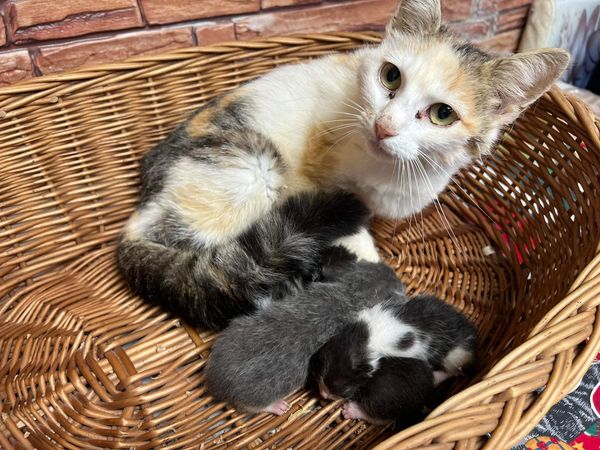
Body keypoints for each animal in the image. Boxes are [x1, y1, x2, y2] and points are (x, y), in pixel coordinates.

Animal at [116, 0, 568, 330]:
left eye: (443, 114)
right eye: (390, 76)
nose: (384, 126)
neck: (386, 170)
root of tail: (141, 207)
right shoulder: (308, 179)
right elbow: (350, 224)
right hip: (254, 167)